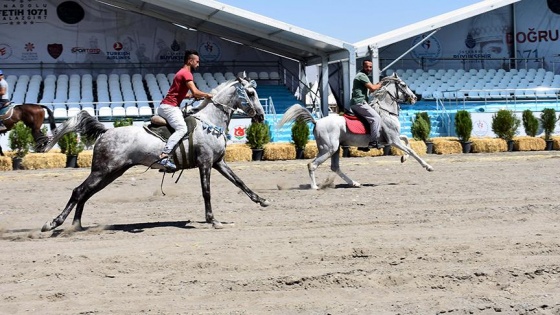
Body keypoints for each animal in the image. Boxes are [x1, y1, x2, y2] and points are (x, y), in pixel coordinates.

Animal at [41, 75, 270, 231]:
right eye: (251, 94)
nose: (260, 116)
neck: (210, 121)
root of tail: (107, 131)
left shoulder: (218, 162)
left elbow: (239, 182)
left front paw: (261, 200)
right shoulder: (205, 163)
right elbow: (207, 192)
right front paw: (213, 219)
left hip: (111, 173)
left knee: (86, 194)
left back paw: (76, 225)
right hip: (102, 171)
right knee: (78, 191)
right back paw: (53, 223)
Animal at [278, 73, 434, 190]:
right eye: (403, 85)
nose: (414, 98)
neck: (386, 112)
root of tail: (317, 121)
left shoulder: (392, 139)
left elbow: (407, 140)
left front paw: (403, 158)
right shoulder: (393, 140)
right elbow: (412, 150)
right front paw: (428, 166)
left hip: (335, 149)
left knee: (335, 167)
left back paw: (354, 183)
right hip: (328, 149)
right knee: (312, 165)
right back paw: (315, 187)